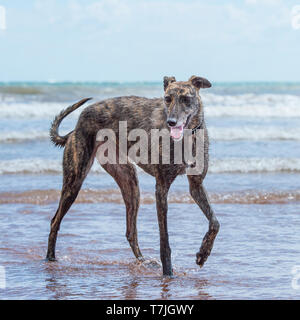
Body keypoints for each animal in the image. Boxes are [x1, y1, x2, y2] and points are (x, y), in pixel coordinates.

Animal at [47, 76, 220, 276]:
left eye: (185, 99)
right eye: (167, 99)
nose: (171, 122)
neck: (186, 137)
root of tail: (76, 125)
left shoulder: (196, 185)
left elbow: (215, 222)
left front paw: (203, 254)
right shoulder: (161, 188)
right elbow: (164, 240)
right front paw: (168, 272)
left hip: (130, 182)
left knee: (130, 231)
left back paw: (144, 262)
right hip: (75, 180)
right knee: (55, 221)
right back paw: (50, 257)